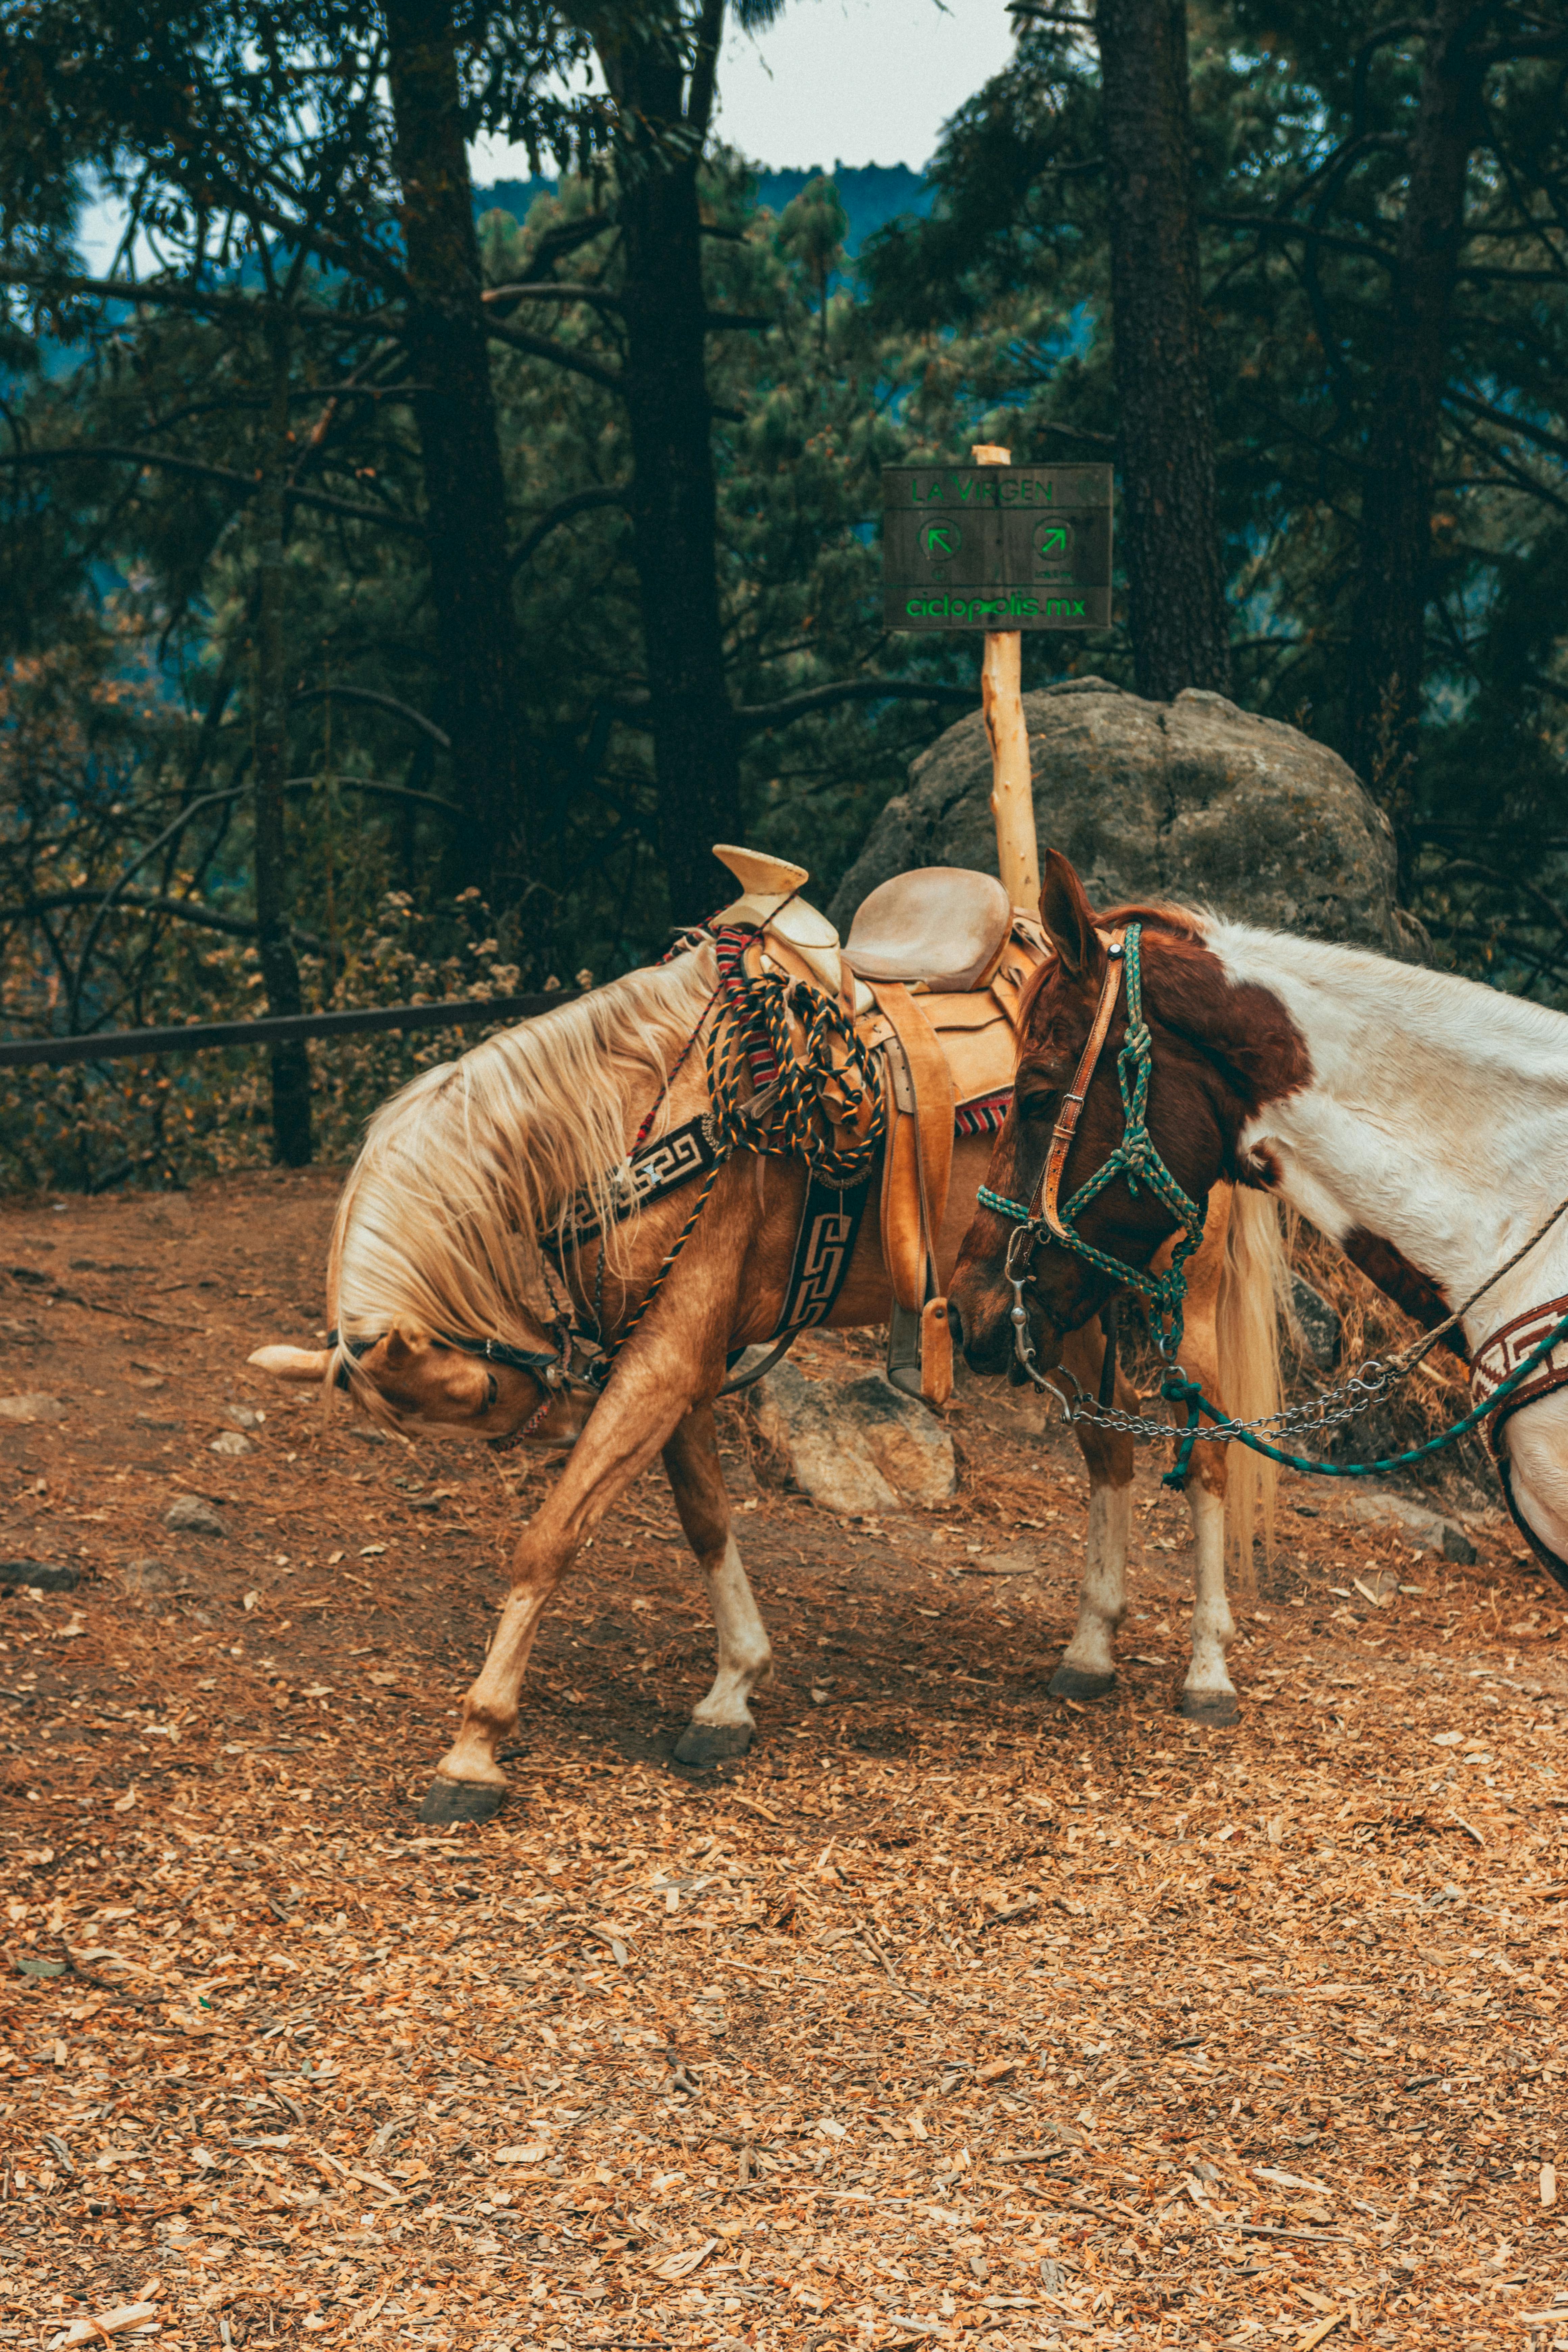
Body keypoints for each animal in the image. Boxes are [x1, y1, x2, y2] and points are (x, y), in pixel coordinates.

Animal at [249, 928, 1289, 1825]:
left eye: (478, 1401)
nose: (560, 1396)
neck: (643, 1115)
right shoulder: (676, 1361)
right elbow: (707, 1522)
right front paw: (730, 1692)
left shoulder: (662, 1362)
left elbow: (549, 1538)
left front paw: (473, 1748)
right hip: (1055, 1305)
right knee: (1108, 1452)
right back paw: (1088, 1648)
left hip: (1184, 1298)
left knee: (1205, 1462)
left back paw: (1207, 1669)